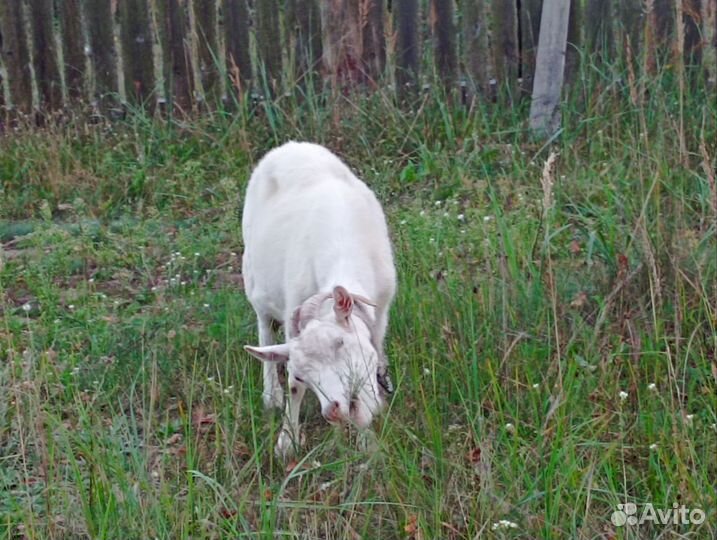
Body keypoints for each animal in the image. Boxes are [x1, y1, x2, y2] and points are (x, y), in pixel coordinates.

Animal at [241, 141, 396, 457]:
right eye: (302, 376)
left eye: (341, 343)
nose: (332, 410)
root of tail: (289, 146)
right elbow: (293, 388)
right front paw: (287, 440)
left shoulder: (381, 311)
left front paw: (369, 436)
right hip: (253, 280)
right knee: (265, 328)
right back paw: (270, 394)